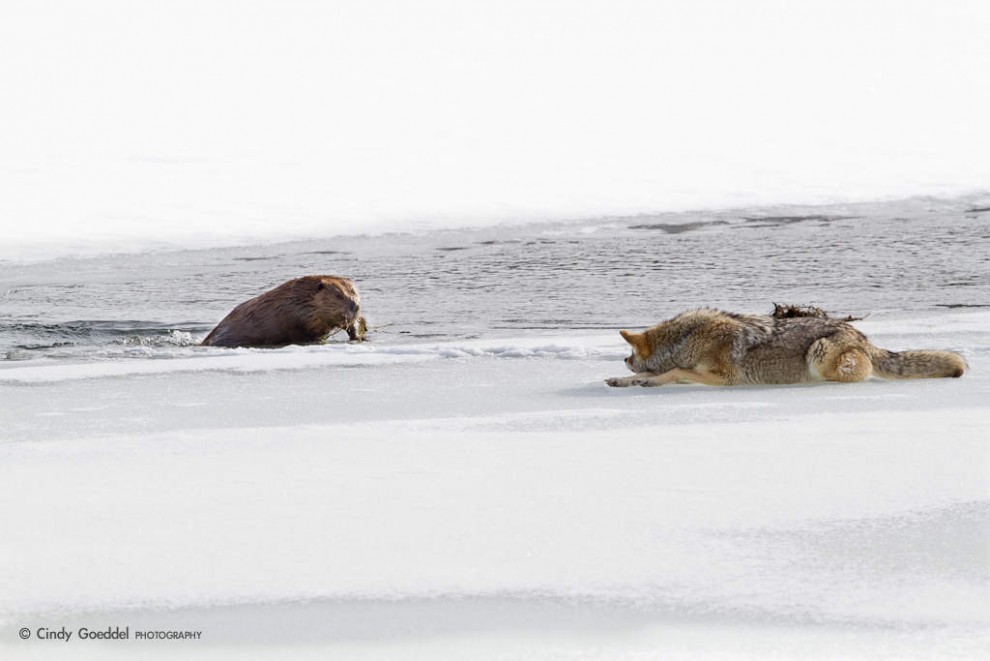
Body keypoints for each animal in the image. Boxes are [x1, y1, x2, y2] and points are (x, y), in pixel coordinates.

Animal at [202, 274, 368, 348]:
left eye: (354, 292)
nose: (355, 306)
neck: (301, 300)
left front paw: (359, 336)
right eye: (338, 295)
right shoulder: (297, 318)